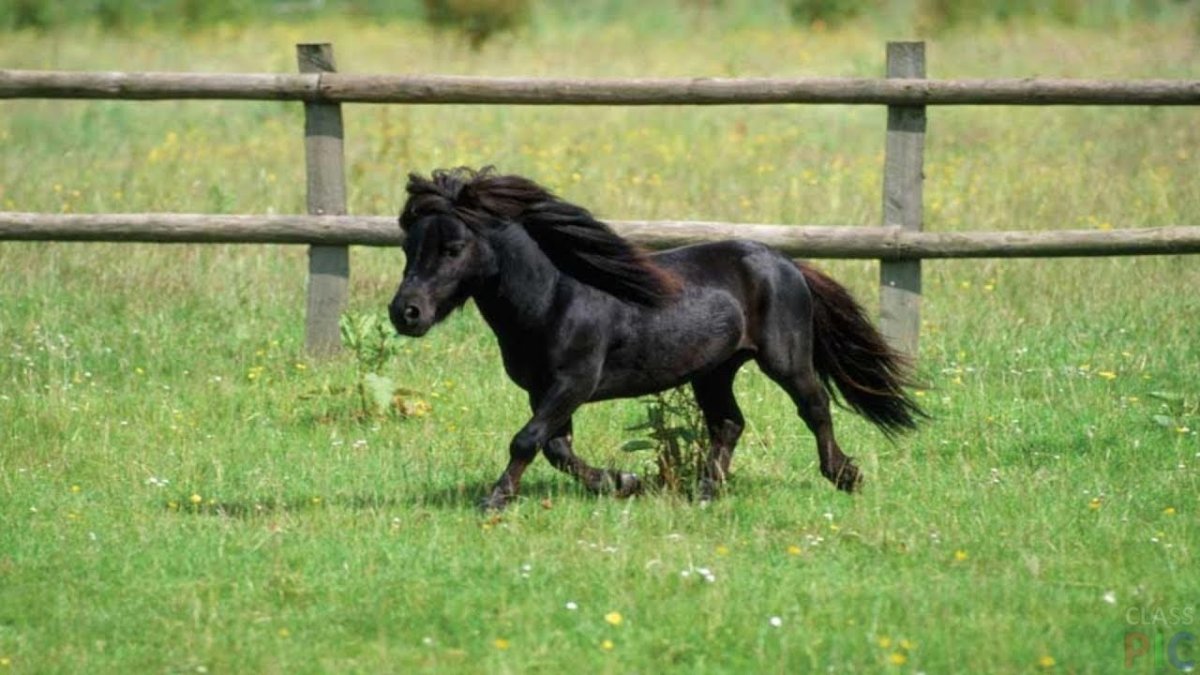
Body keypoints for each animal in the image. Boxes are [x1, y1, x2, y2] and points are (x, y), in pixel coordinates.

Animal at [388, 167, 924, 511]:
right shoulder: (543, 391)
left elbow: (527, 440)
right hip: (714, 370)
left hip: (784, 359)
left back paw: (844, 475)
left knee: (814, 407)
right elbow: (556, 448)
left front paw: (495, 499)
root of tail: (786, 262)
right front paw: (623, 482)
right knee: (728, 424)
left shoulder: (573, 383)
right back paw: (706, 493)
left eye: (454, 247)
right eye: (408, 247)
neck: (554, 297)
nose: (405, 313)